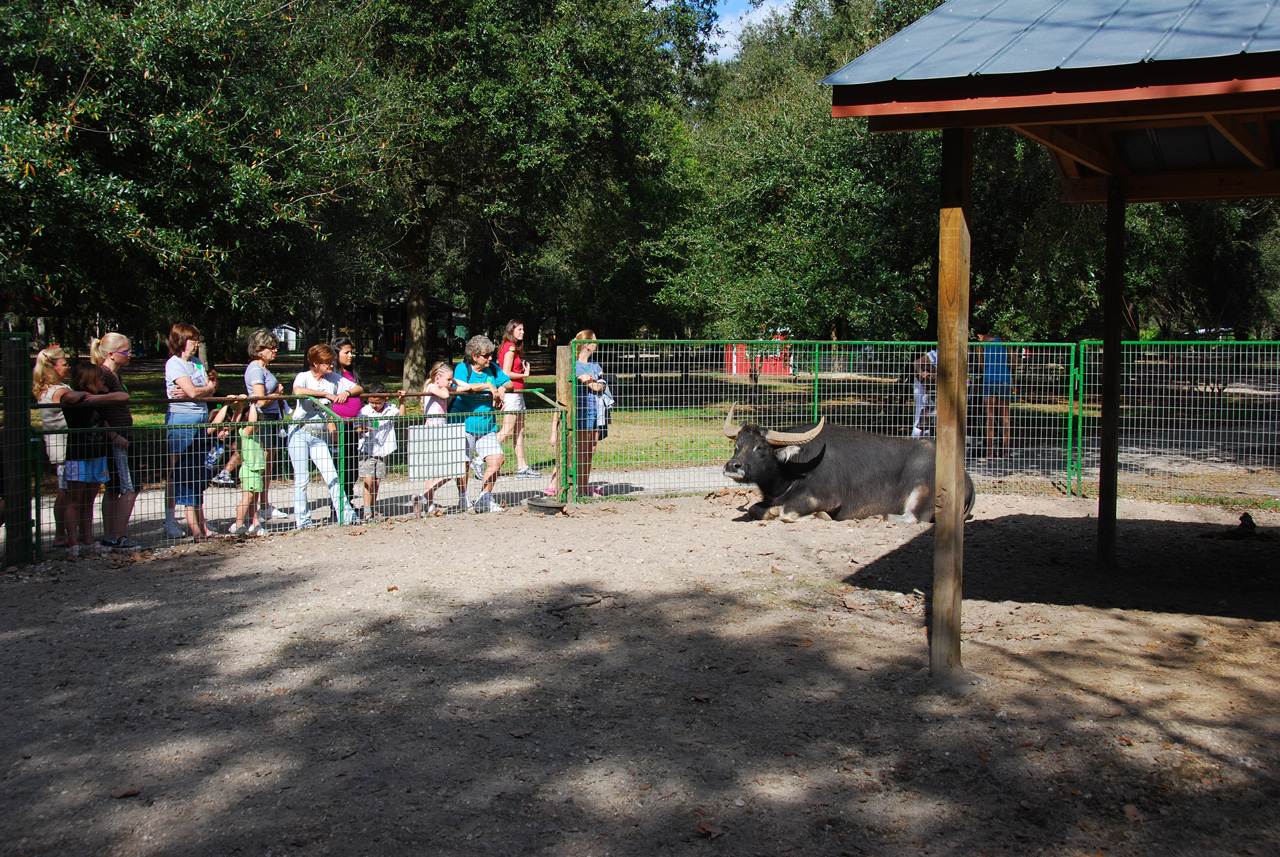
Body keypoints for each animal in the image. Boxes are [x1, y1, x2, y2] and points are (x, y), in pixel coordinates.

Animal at [721, 406, 977, 524]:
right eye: (738, 445)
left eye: (760, 448)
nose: (733, 466)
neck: (793, 470)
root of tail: (966, 478)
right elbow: (756, 509)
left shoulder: (826, 498)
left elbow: (787, 512)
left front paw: (819, 516)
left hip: (922, 493)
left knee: (913, 517)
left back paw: (880, 517)